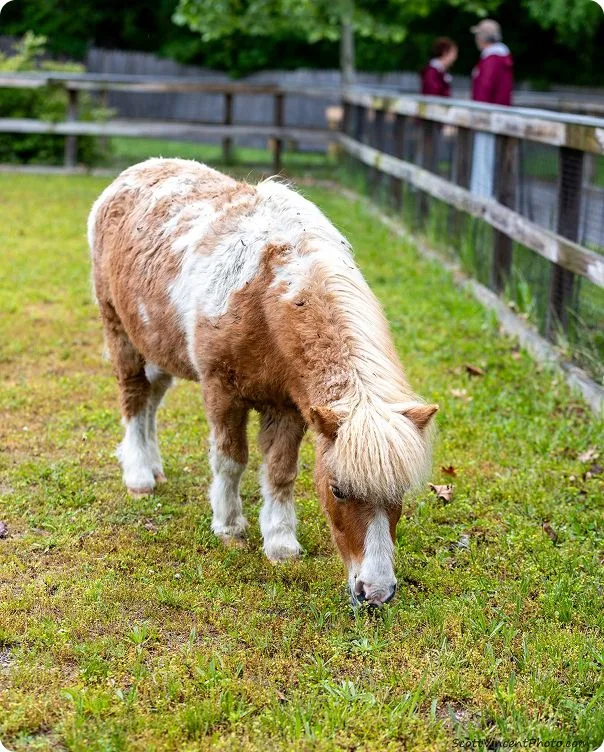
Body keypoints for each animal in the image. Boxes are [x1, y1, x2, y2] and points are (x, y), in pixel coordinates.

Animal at [88, 158, 437, 607]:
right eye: (338, 490)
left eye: (401, 493)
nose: (375, 593)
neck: (268, 297)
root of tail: (132, 173)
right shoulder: (221, 391)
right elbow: (230, 460)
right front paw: (229, 527)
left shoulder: (288, 407)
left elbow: (280, 473)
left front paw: (280, 543)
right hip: (120, 330)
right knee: (133, 396)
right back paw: (138, 476)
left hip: (158, 345)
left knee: (150, 400)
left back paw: (153, 465)